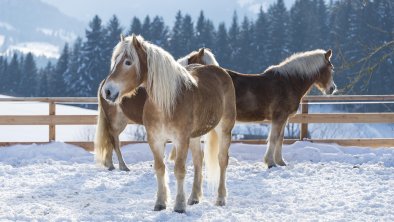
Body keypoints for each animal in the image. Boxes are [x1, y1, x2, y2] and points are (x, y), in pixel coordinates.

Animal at [177, 47, 338, 167]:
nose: (332, 89)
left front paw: (280, 162)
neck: (288, 82)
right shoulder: (279, 117)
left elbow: (280, 139)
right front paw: (270, 163)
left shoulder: (284, 119)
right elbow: (273, 138)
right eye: (331, 68)